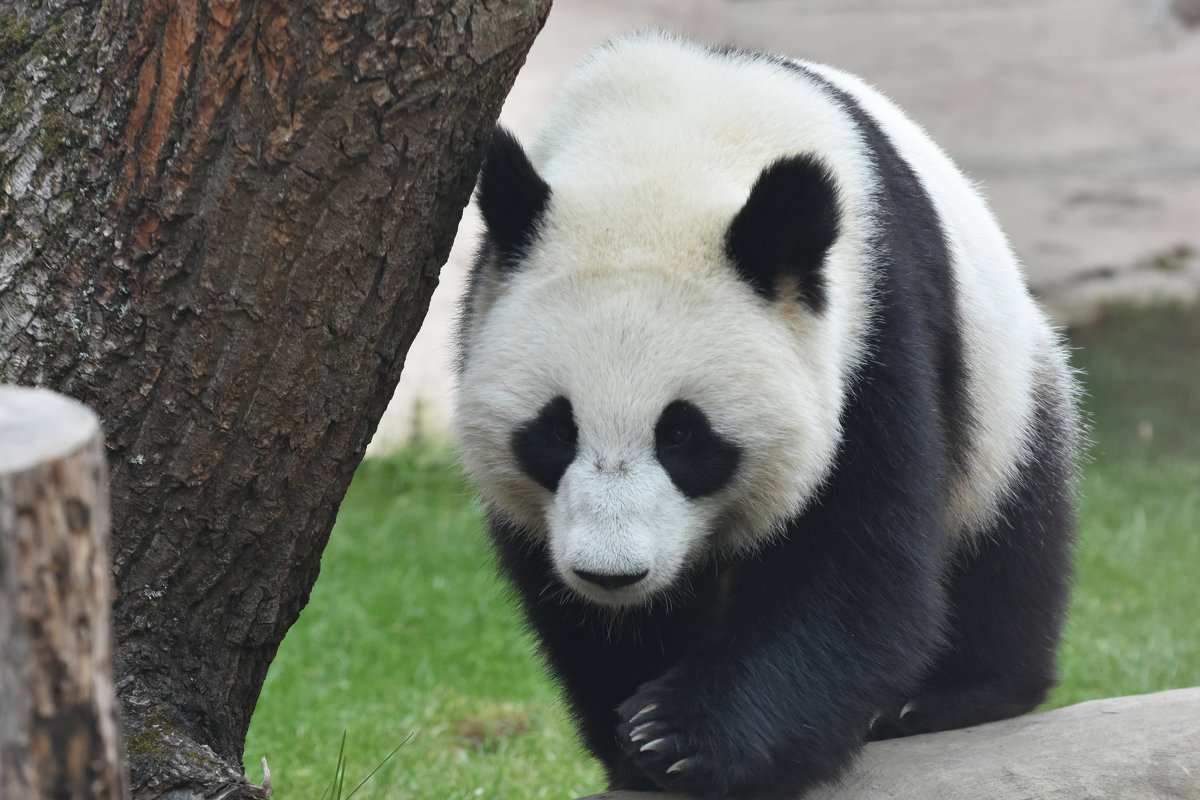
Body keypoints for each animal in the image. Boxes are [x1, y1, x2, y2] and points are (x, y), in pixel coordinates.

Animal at [453, 31, 1084, 800]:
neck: (669, 145)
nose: (612, 572)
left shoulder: (873, 323)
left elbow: (854, 558)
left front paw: (680, 738)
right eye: (556, 430)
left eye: (685, 436)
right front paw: (631, 740)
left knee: (1010, 538)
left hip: (1008, 387)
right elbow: (571, 601)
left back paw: (948, 696)